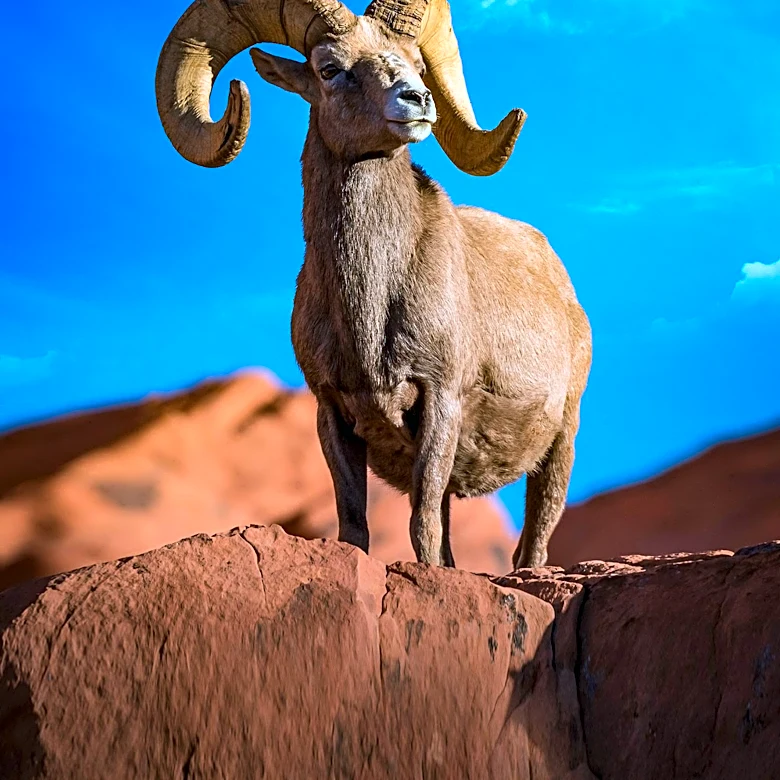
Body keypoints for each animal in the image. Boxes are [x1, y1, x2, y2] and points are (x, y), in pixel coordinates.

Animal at [156, 0, 592, 569]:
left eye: (418, 64)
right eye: (329, 69)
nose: (417, 100)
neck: (370, 307)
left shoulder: (439, 402)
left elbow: (422, 525)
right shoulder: (334, 414)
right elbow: (355, 525)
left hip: (560, 444)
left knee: (534, 540)